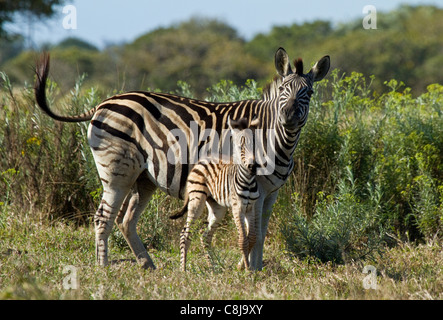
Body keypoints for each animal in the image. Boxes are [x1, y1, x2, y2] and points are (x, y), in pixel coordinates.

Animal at [170, 116, 260, 272]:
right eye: (240, 147)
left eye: (255, 145)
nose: (253, 167)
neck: (248, 180)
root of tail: (201, 160)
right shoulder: (237, 208)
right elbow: (243, 239)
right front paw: (247, 271)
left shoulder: (251, 208)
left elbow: (252, 238)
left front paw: (246, 268)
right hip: (197, 199)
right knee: (185, 234)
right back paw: (183, 269)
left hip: (218, 208)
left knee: (205, 236)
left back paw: (212, 267)